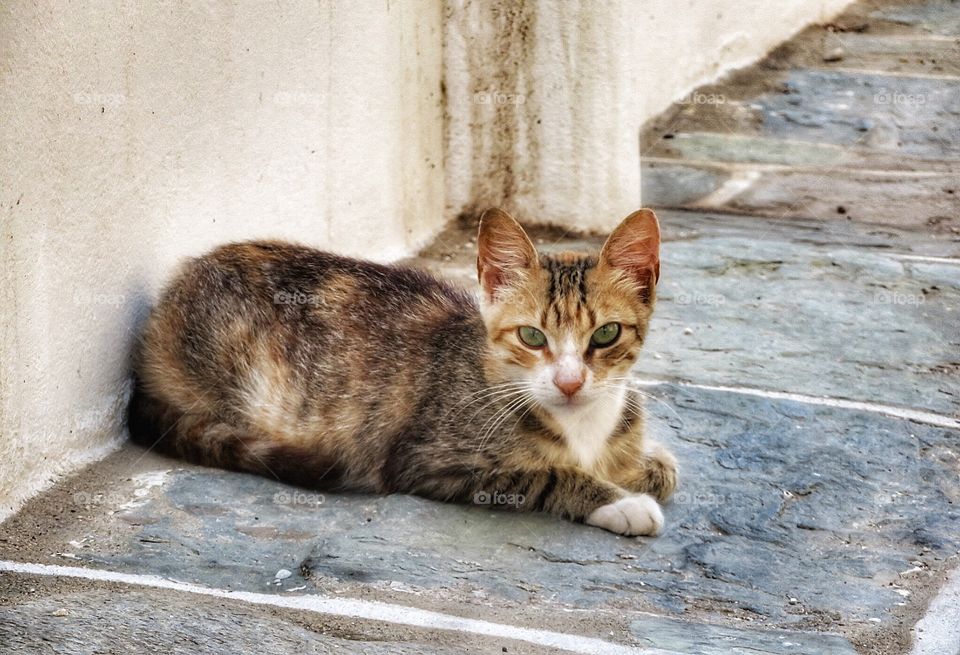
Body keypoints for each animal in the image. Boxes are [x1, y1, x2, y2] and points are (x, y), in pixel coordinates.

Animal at [127, 210, 680, 540]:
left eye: (606, 334)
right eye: (531, 336)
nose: (569, 382)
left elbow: (664, 467)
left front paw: (641, 467)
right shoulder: (428, 460)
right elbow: (546, 473)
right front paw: (619, 502)